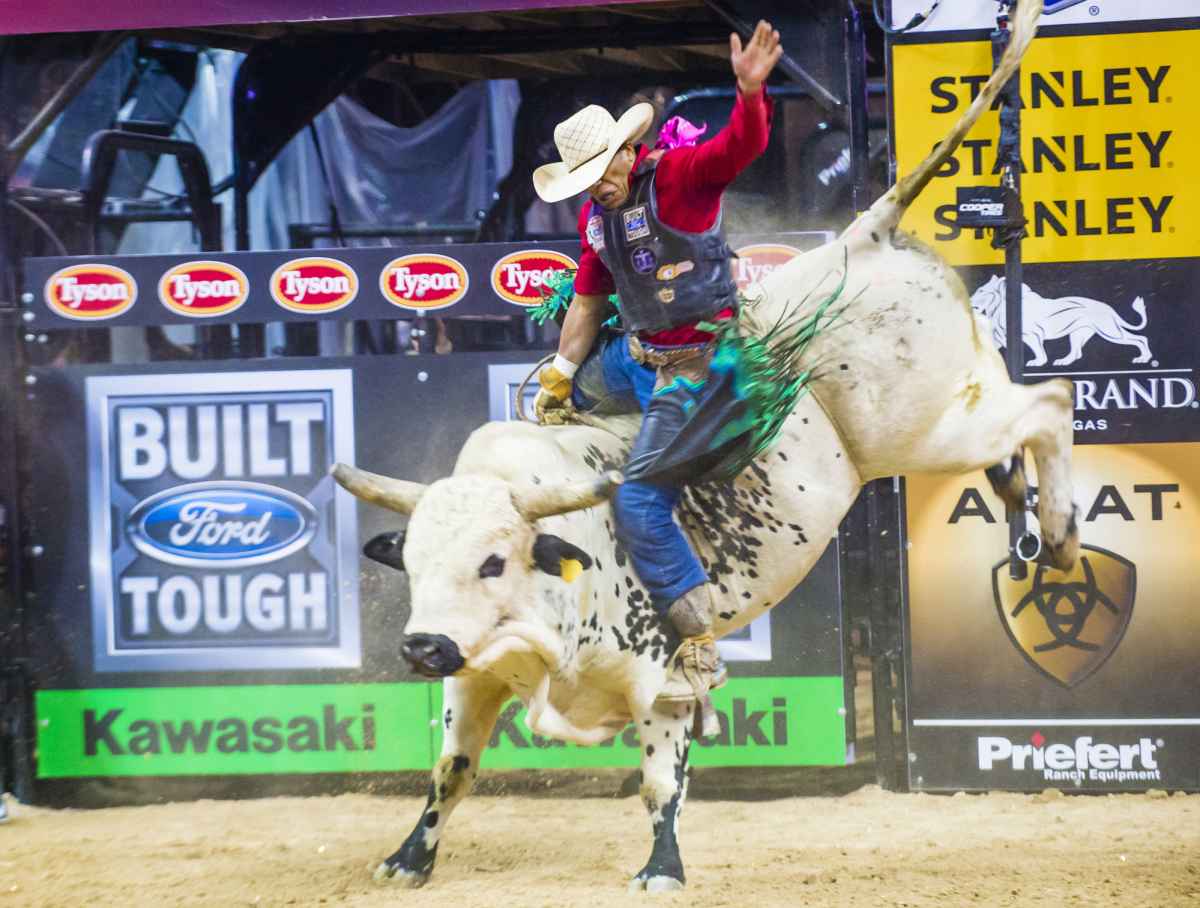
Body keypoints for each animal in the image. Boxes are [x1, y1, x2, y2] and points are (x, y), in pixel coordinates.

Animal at [331, 0, 1080, 887]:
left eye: (491, 561)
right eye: (411, 563)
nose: (422, 645)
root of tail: (857, 237)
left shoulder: (659, 683)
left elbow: (662, 781)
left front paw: (662, 866)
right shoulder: (474, 676)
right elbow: (451, 769)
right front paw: (406, 857)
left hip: (923, 427)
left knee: (1051, 404)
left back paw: (1061, 534)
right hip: (947, 414)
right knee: (1015, 430)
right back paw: (1017, 499)